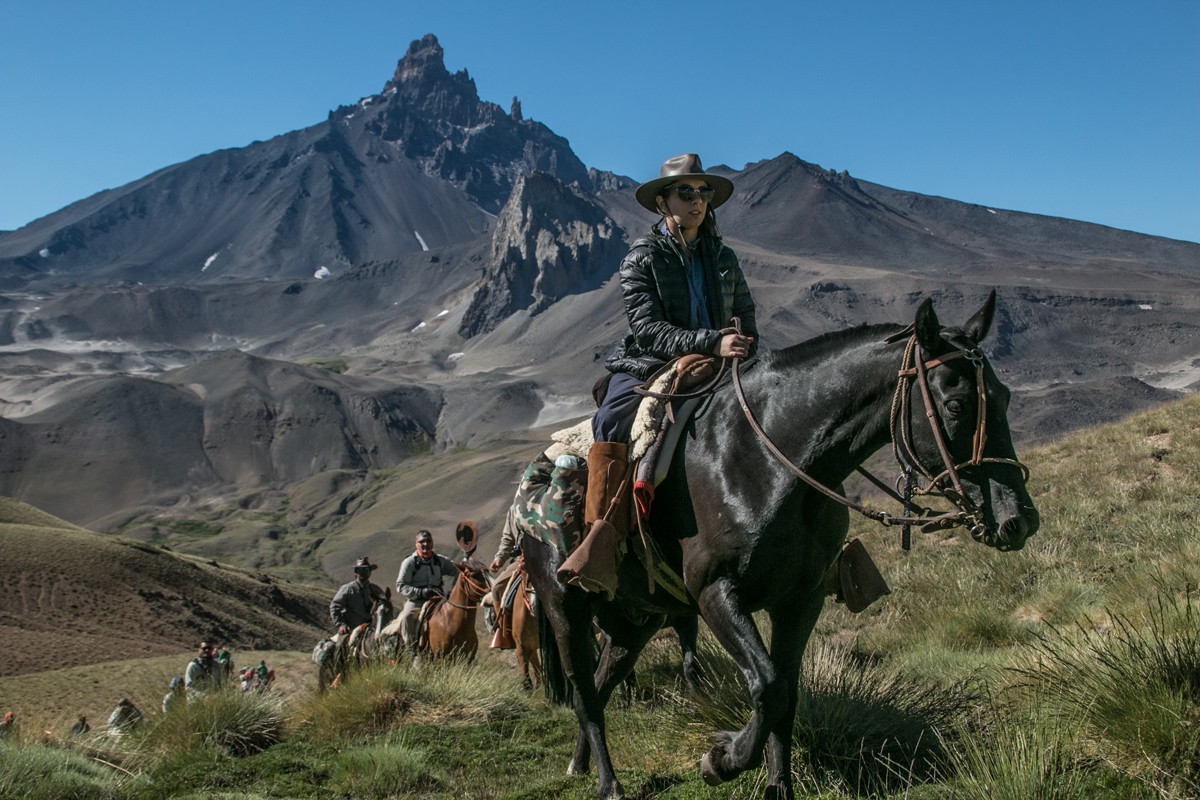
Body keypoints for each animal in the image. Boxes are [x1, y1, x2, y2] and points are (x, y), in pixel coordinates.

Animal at [525, 296, 1041, 800]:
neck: (772, 459)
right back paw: (609, 784)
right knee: (584, 695)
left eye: (1005, 397)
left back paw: (580, 764)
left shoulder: (799, 600)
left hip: (636, 619)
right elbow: (768, 686)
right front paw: (722, 759)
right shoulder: (715, 592)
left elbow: (786, 696)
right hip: (566, 608)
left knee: (600, 683)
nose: (1019, 520)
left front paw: (777, 784)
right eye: (955, 405)